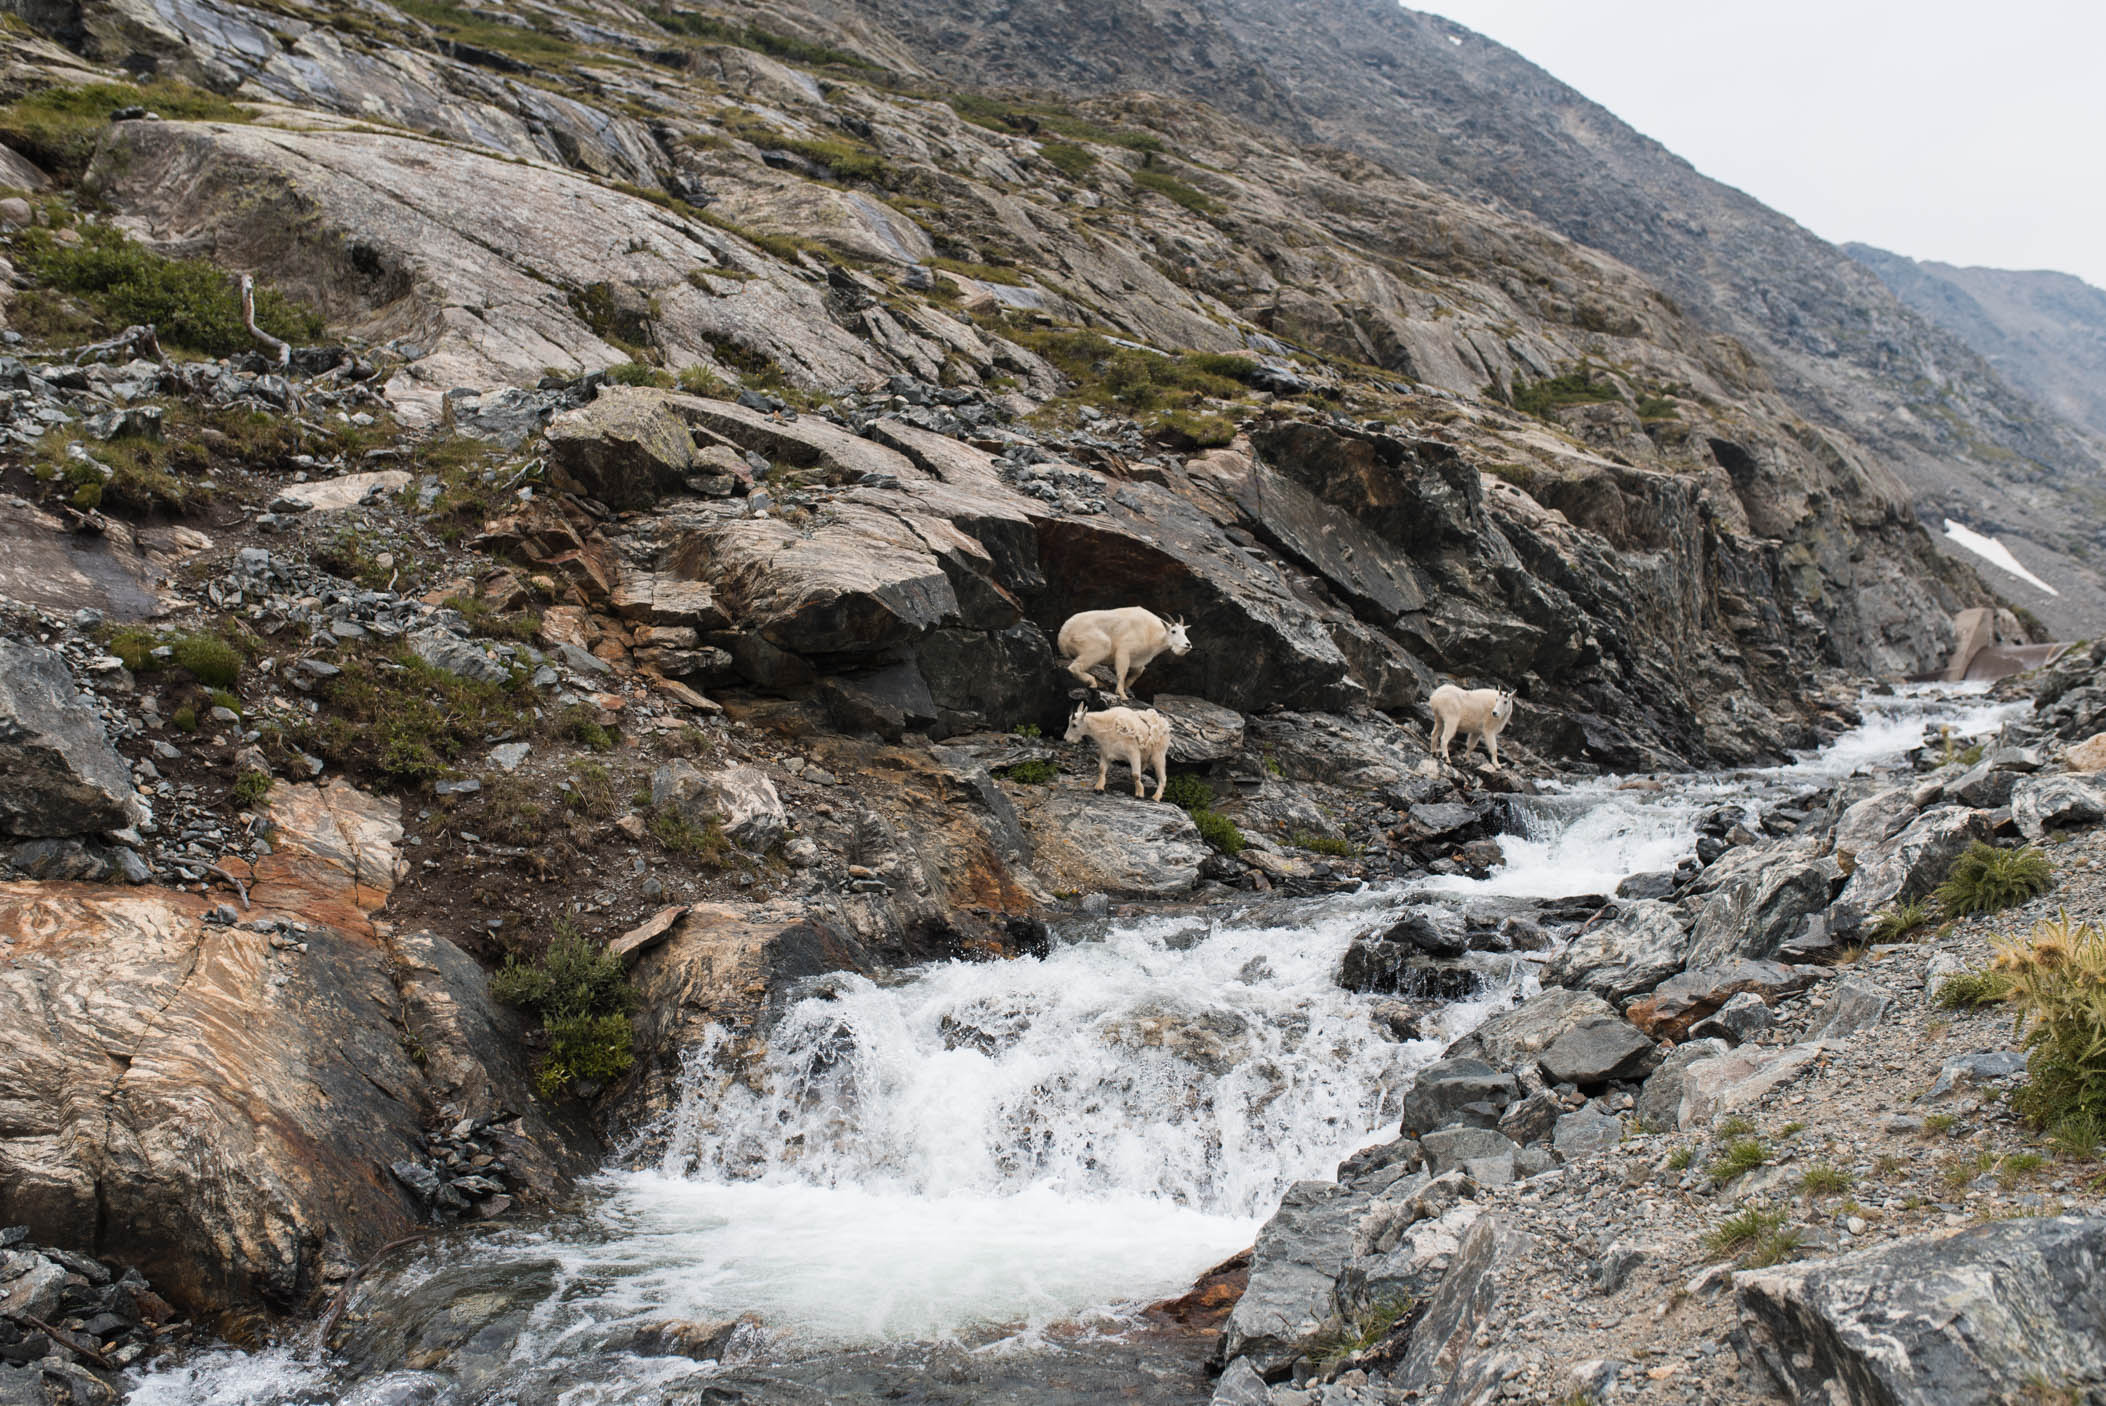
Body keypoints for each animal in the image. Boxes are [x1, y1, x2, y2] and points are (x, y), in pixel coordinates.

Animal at [1061, 606, 1196, 698]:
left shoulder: (1138, 660)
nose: (1187, 645)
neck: (1150, 632)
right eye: (1173, 631)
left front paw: (1126, 688)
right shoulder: (1124, 652)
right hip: (1100, 646)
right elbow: (1122, 673)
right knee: (1074, 667)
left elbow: (1139, 672)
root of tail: (1063, 634)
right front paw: (1122, 694)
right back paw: (1093, 682)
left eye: (1184, 632)